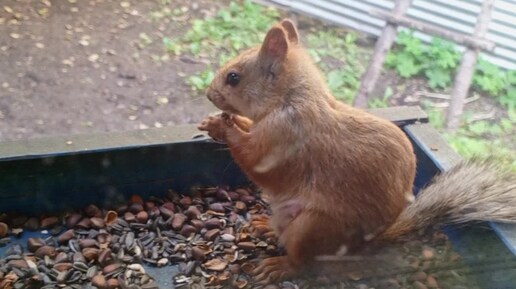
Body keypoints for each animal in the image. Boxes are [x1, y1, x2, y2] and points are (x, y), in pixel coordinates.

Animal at [198, 18, 516, 284]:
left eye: (234, 78)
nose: (208, 95)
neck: (289, 99)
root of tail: (366, 244)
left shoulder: (286, 137)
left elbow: (256, 161)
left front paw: (223, 127)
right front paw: (219, 122)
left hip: (313, 227)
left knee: (303, 261)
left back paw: (281, 266)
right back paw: (266, 225)